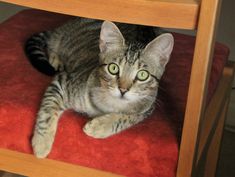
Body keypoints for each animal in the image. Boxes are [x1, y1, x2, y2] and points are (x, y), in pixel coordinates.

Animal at [24, 17, 173, 158]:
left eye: (142, 75)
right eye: (113, 68)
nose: (123, 90)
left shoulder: (148, 106)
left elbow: (128, 117)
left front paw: (99, 126)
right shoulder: (62, 82)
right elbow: (47, 112)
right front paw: (41, 143)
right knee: (52, 45)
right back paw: (56, 59)